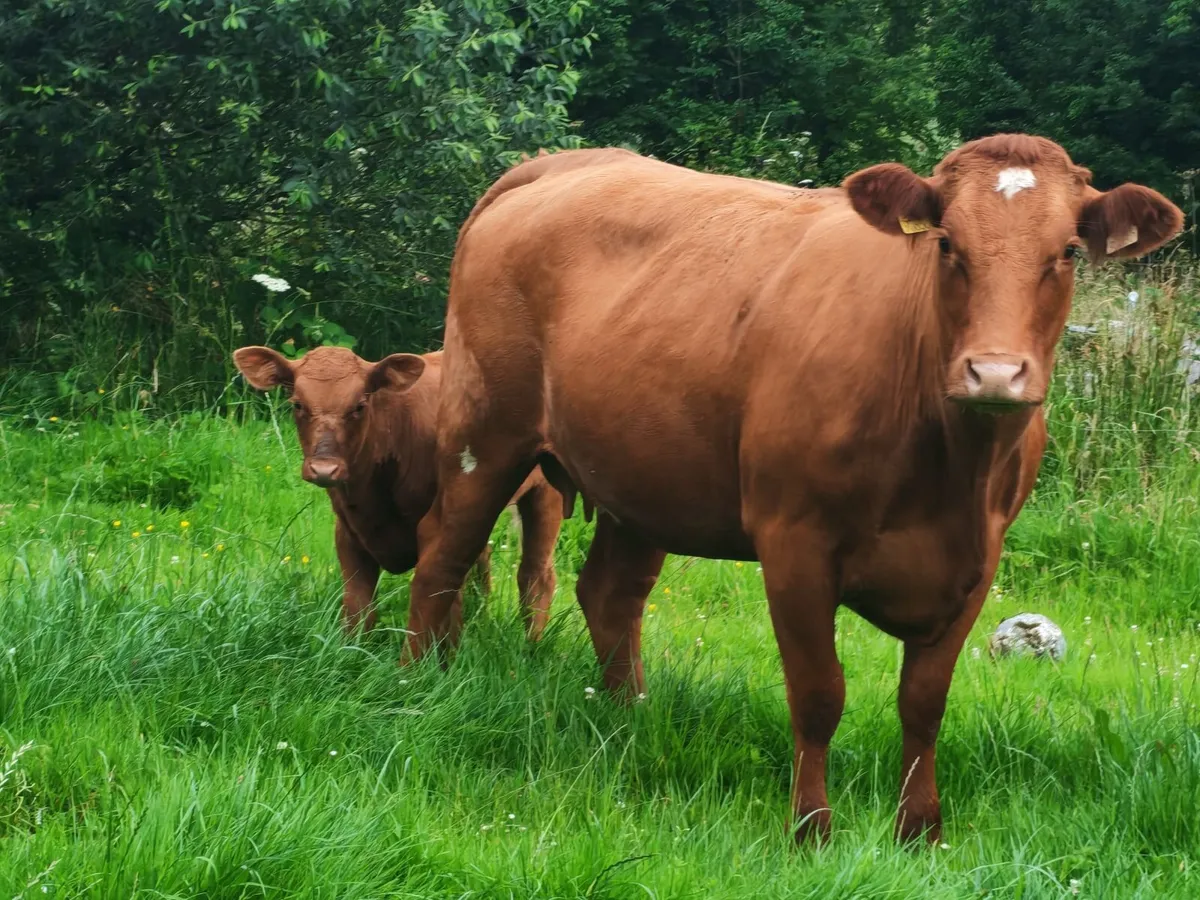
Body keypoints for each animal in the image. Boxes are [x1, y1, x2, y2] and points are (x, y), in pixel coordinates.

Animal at [232, 345, 563, 641]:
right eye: (298, 404)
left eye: (359, 406)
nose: (324, 469)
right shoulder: (349, 533)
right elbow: (359, 607)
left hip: (546, 494)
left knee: (536, 574)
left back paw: (530, 646)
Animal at [404, 135, 1183, 843]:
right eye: (946, 245)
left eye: (1069, 252)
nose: (994, 372)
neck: (949, 471)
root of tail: (556, 164)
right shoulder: (795, 544)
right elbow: (818, 694)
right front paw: (811, 828)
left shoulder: (978, 562)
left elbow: (924, 701)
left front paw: (919, 831)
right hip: (484, 434)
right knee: (442, 556)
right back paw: (422, 681)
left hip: (640, 473)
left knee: (609, 594)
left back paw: (630, 717)